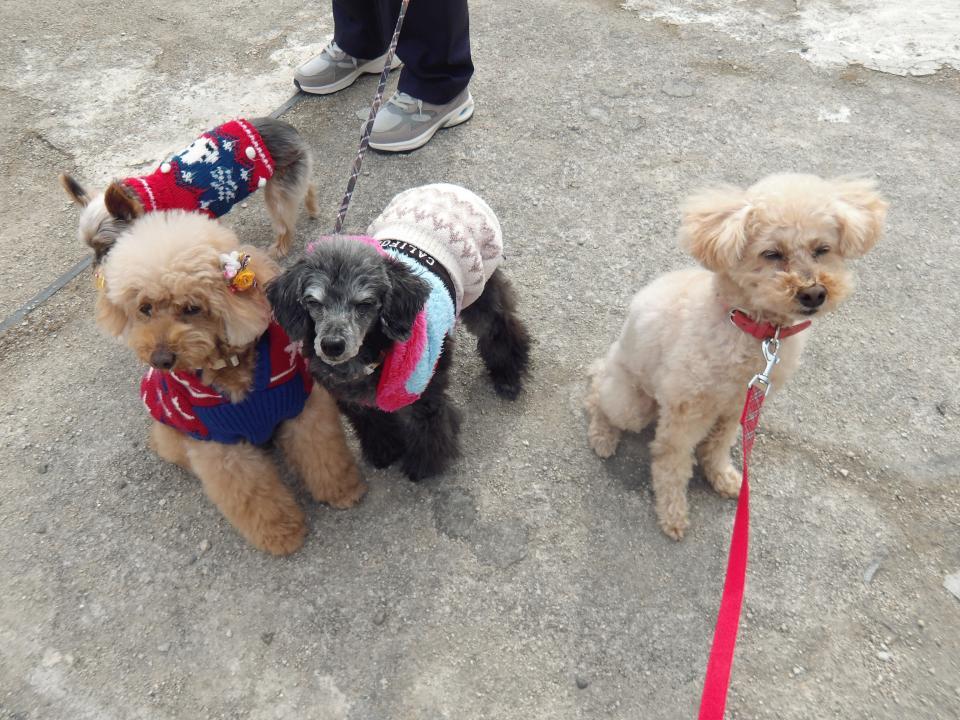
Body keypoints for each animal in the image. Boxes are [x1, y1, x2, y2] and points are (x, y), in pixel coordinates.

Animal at [60, 117, 317, 260]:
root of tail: (288, 130)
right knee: (307, 185)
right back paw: (312, 207)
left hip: (276, 191)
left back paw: (280, 247)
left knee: (284, 222)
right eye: (91, 249)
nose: (98, 269)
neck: (150, 198)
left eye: (109, 247)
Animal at [96, 210, 365, 555]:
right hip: (174, 434)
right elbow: (253, 496)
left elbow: (324, 455)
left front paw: (343, 490)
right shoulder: (221, 448)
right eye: (145, 308)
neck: (231, 366)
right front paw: (282, 534)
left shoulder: (303, 410)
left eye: (192, 308)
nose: (160, 359)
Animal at [267, 184, 531, 481]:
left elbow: (428, 426)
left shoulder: (424, 392)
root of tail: (449, 187)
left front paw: (423, 466)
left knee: (499, 326)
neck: (367, 358)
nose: (332, 345)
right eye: (313, 302)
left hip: (480, 289)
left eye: (365, 304)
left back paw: (508, 375)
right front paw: (384, 452)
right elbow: (372, 422)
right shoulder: (352, 399)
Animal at [585, 173, 887, 539]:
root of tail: (610, 361)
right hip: (631, 403)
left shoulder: (738, 405)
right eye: (772, 253)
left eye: (822, 250)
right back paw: (602, 435)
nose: (814, 293)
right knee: (598, 397)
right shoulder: (687, 412)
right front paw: (672, 513)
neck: (750, 330)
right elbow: (672, 461)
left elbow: (717, 446)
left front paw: (723, 477)